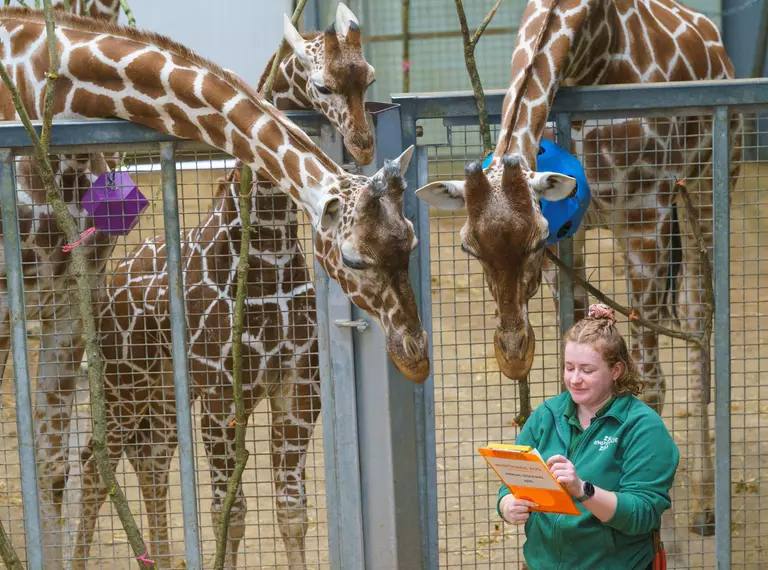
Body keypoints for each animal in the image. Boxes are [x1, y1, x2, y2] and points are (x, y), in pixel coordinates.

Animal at [0, 4, 426, 564]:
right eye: (354, 258)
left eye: (412, 240)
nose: (416, 357)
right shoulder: (223, 394)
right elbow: (233, 511)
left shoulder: (299, 388)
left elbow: (291, 510)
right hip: (124, 383)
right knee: (95, 466)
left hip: (158, 390)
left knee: (145, 459)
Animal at [416, 0, 740, 536]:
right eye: (468, 249)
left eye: (535, 241)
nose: (512, 356)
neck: (593, 48)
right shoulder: (575, 230)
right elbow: (574, 340)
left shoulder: (643, 215)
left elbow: (650, 383)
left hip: (708, 184)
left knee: (700, 317)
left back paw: (703, 506)